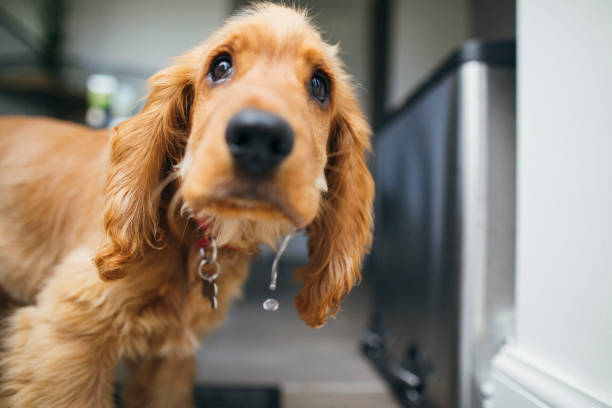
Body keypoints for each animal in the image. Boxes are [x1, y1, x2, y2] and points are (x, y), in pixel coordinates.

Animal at [0, 3, 372, 408]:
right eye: (220, 66)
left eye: (320, 85)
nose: (259, 136)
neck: (192, 237)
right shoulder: (66, 339)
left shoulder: (170, 361)